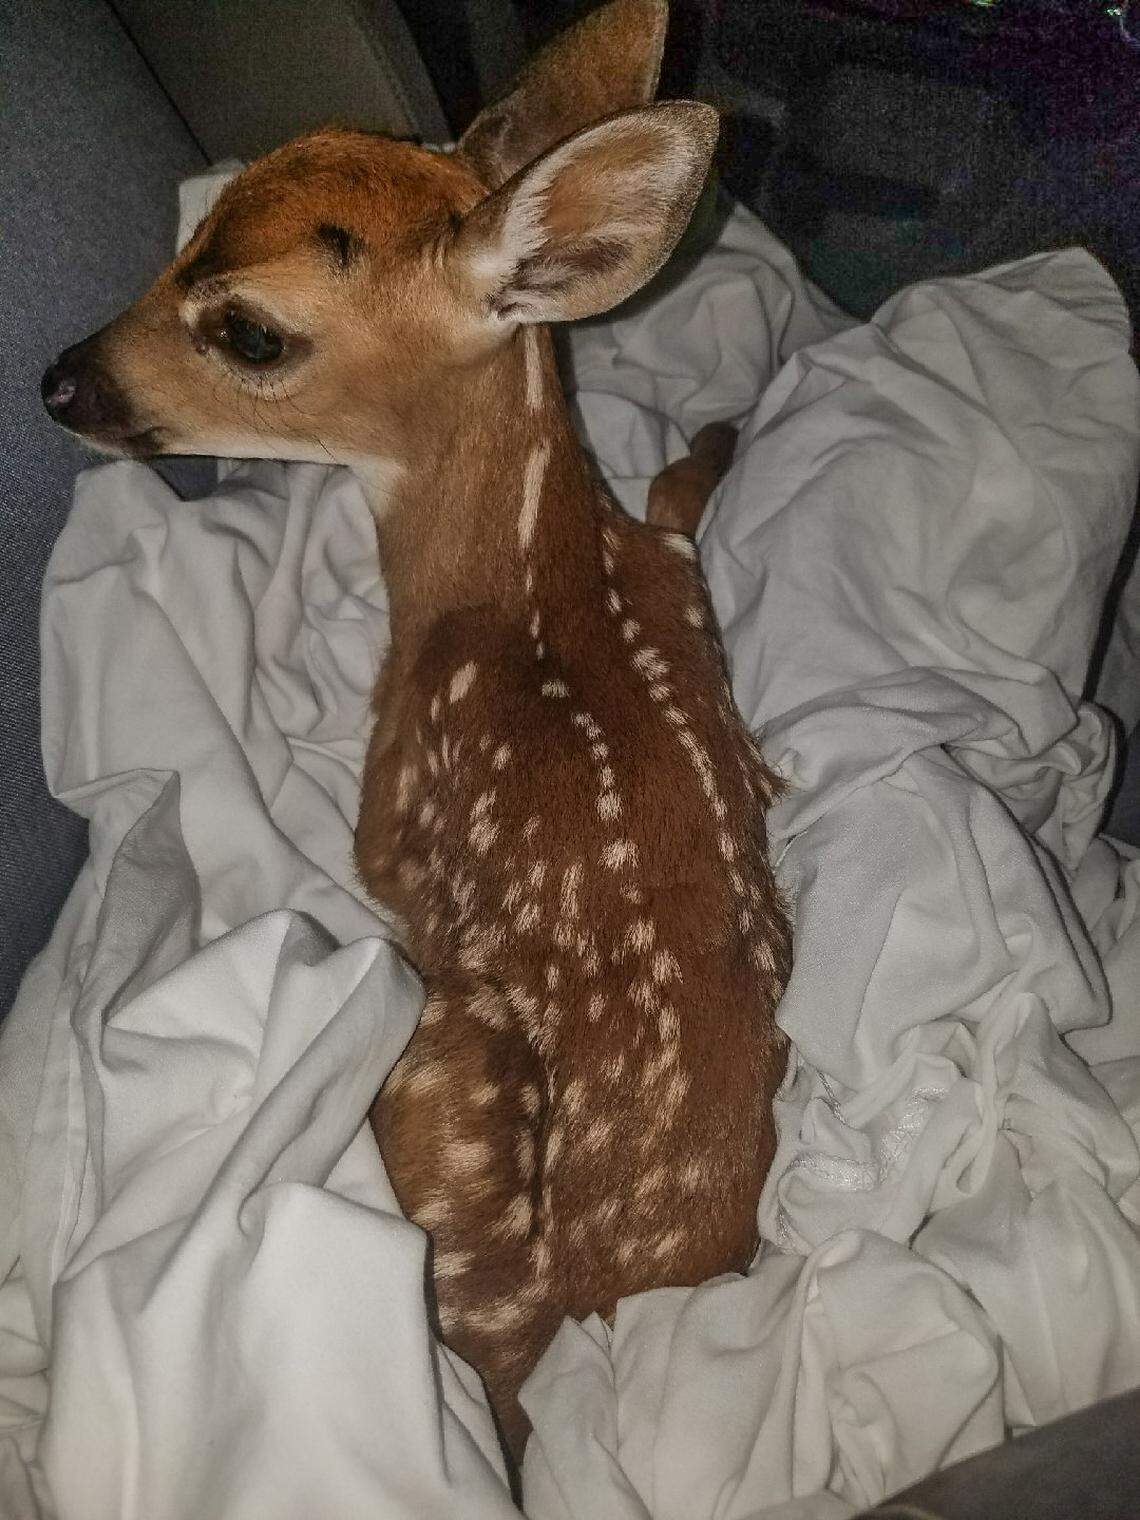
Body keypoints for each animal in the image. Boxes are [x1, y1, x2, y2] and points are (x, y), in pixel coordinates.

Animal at [40, 0, 792, 1470]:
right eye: (198, 220)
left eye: (250, 332)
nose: (57, 382)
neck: (520, 571)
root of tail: (596, 1302)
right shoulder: (673, 572)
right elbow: (684, 510)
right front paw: (715, 440)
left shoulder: (394, 809)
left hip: (436, 1060)